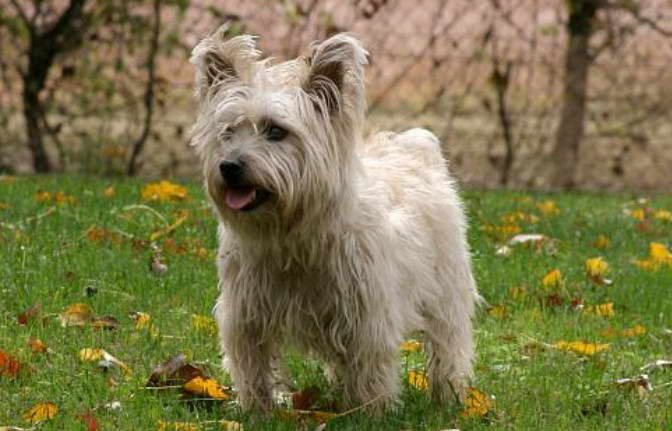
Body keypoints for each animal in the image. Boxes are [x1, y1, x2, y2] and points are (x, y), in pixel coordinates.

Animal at [190, 24, 478, 416]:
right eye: (228, 131)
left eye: (276, 131)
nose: (229, 166)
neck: (292, 235)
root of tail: (413, 149)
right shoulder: (246, 315)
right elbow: (253, 366)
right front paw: (256, 410)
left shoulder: (367, 316)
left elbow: (369, 367)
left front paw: (370, 414)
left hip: (446, 290)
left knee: (448, 343)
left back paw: (448, 394)